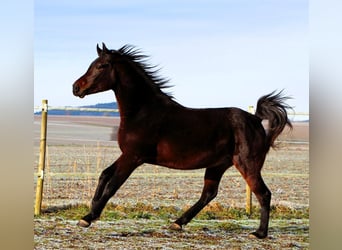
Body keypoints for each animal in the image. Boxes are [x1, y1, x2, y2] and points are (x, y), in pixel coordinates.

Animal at [71, 43, 292, 238]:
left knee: (263, 194)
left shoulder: (133, 157)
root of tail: (255, 119)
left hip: (247, 164)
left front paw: (88, 217)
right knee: (209, 194)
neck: (144, 112)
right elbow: (104, 174)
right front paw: (91, 210)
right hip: (217, 166)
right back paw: (177, 223)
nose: (76, 88)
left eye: (101, 66)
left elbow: (113, 185)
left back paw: (259, 233)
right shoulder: (127, 155)